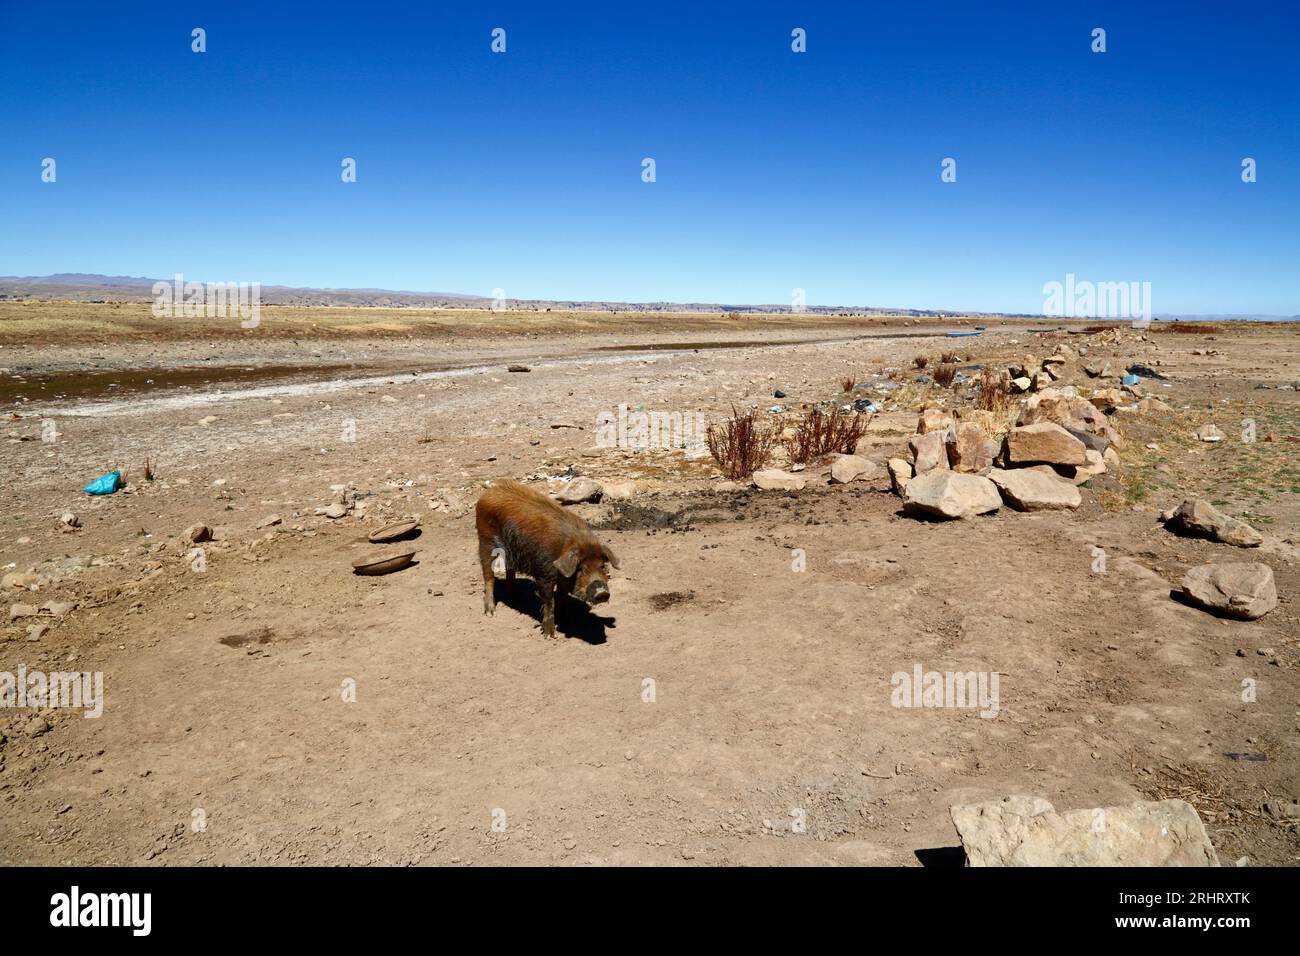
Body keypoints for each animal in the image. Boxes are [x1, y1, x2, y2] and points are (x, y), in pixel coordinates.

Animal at [475, 479, 619, 638]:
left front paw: (564, 620)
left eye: (602, 566)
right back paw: (490, 612)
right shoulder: (543, 573)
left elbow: (561, 597)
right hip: (485, 540)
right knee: (488, 575)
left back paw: (514, 597)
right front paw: (550, 635)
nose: (602, 593)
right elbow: (549, 600)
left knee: (509, 569)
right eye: (581, 568)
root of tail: (489, 492)